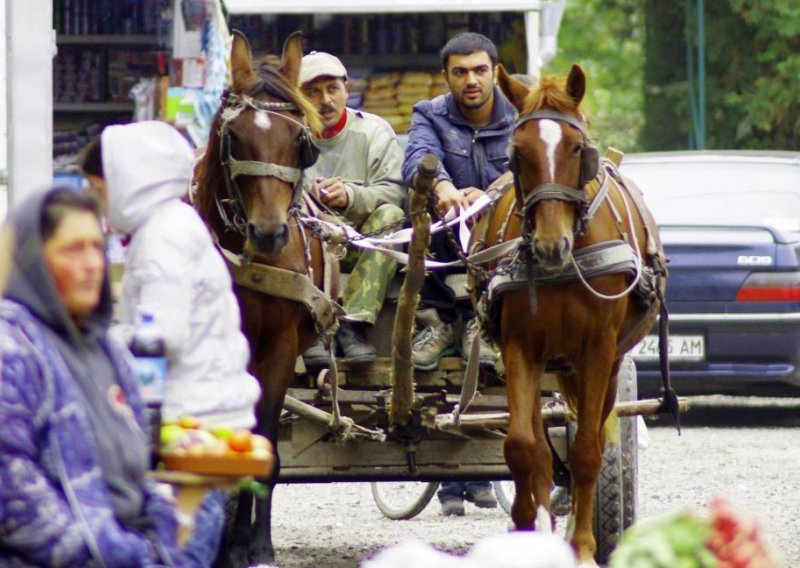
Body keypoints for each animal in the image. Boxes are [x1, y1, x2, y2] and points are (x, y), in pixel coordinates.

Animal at [476, 65, 668, 564]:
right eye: (517, 153)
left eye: (577, 149)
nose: (550, 245)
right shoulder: (520, 347)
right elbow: (524, 448)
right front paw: (528, 524)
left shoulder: (596, 351)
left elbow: (584, 453)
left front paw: (582, 546)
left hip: (604, 363)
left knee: (593, 436)